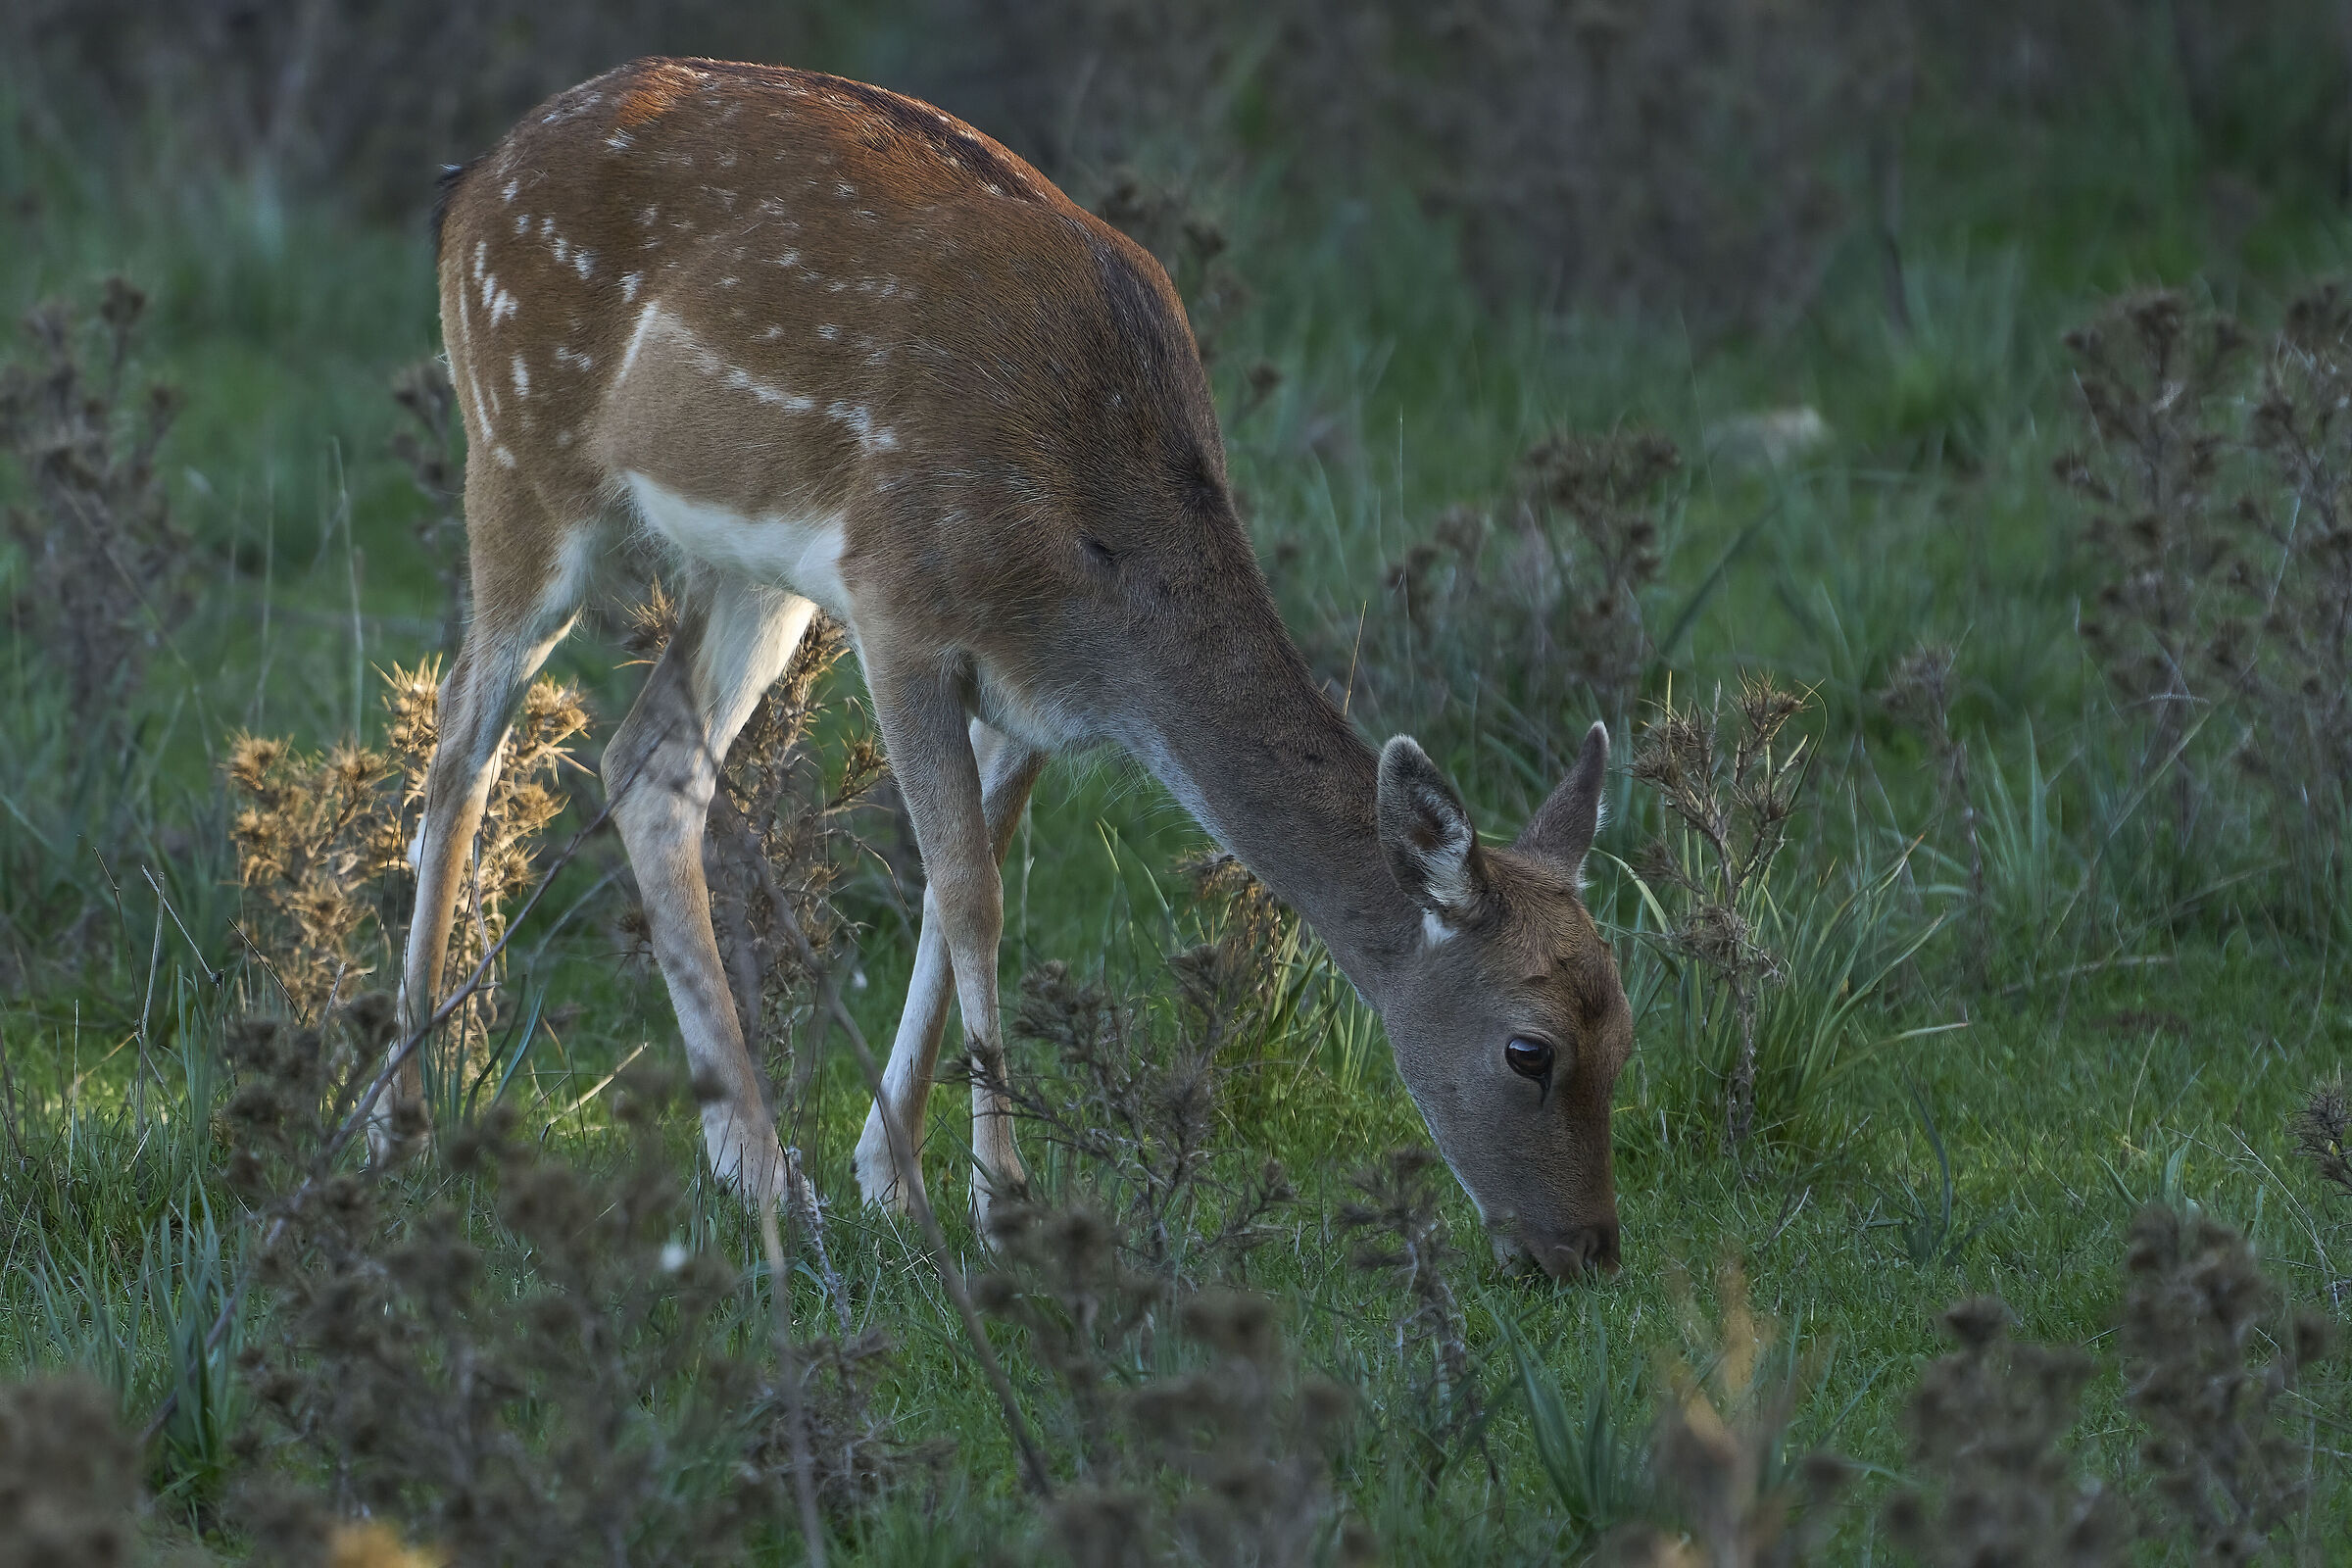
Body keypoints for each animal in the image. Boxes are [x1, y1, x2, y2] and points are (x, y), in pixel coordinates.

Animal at [386, 57, 1632, 1279]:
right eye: (1530, 1049)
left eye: (1625, 1027)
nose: (1586, 1251)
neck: (1101, 574)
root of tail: (468, 181)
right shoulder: (900, 607)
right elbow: (973, 892)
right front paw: (992, 1206)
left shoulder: (1032, 695)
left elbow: (960, 884)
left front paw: (886, 1176)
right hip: (520, 452)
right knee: (459, 748)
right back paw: (401, 1124)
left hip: (751, 571)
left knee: (648, 763)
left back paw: (761, 1173)